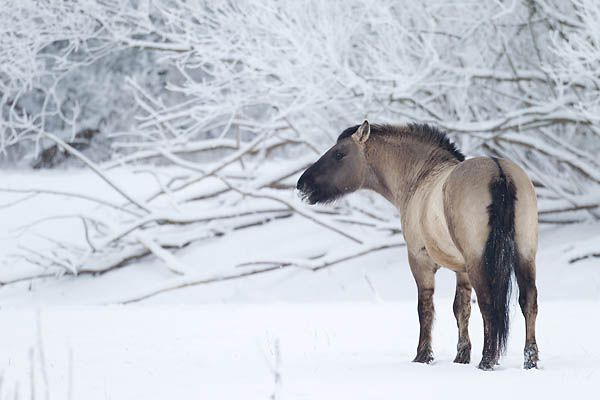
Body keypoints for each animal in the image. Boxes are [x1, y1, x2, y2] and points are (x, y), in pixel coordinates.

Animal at [296, 120, 540, 370]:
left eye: (339, 154)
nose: (302, 184)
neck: (420, 177)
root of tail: (498, 170)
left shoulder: (420, 261)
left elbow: (425, 308)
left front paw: (423, 356)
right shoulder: (461, 270)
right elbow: (461, 308)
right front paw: (461, 356)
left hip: (479, 261)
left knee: (488, 304)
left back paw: (487, 360)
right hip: (525, 255)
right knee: (528, 300)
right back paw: (530, 360)